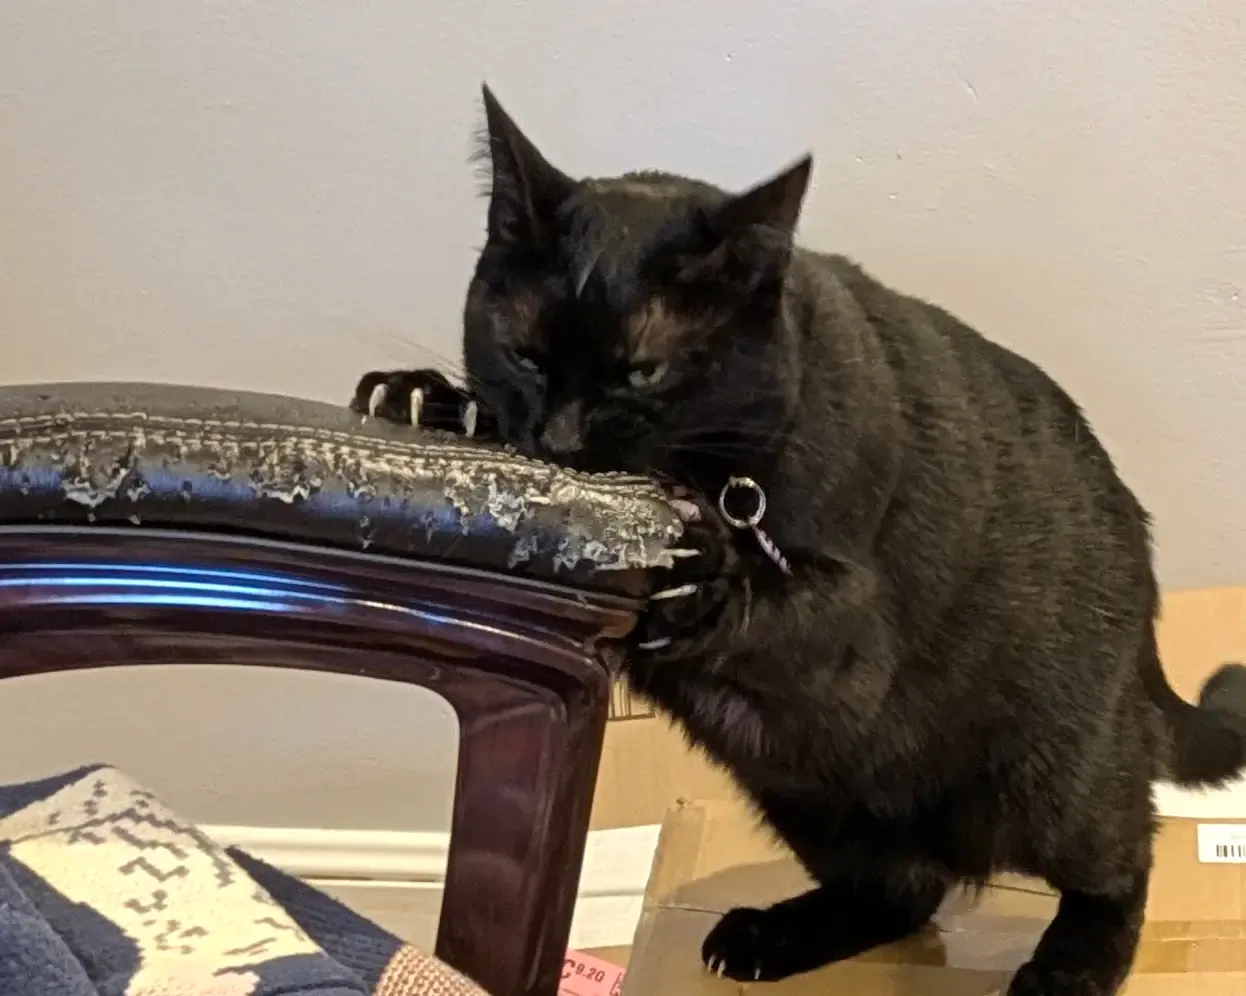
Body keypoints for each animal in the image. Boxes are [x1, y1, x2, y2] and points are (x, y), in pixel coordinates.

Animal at [353, 87, 1246, 996]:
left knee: (1124, 861)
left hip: (1049, 785)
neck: (726, 478)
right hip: (801, 786)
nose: (560, 442)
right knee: (905, 889)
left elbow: (783, 601)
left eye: (643, 371)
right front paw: (430, 402)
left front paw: (702, 576)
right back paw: (769, 937)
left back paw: (1069, 966)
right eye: (527, 356)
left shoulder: (850, 630)